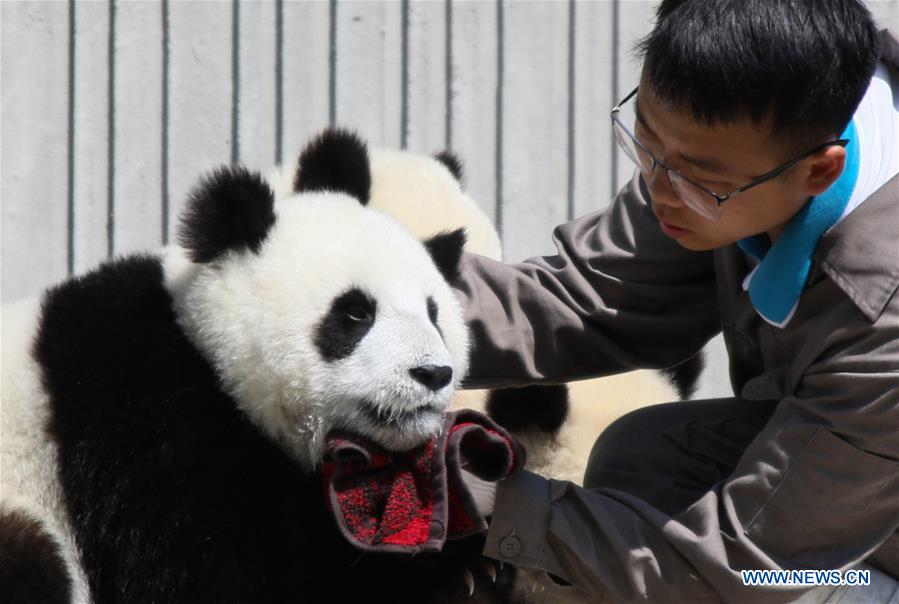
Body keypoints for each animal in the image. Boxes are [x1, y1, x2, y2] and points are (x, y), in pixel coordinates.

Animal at [0, 130, 520, 604]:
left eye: (435, 314)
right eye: (356, 313)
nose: (433, 374)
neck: (208, 351)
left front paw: (471, 567)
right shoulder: (145, 422)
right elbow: (208, 578)